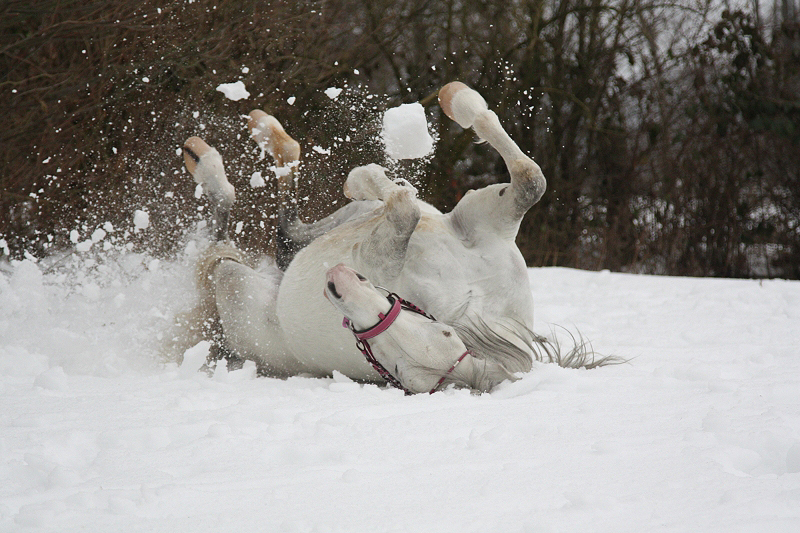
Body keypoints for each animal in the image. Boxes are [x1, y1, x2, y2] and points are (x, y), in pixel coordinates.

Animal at [170, 82, 608, 390]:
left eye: (399, 371)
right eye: (445, 331)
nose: (339, 283)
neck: (466, 299)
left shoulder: (379, 248)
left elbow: (404, 209)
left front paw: (370, 179)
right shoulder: (489, 217)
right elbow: (531, 178)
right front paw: (456, 99)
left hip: (237, 286)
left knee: (236, 245)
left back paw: (208, 161)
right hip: (324, 231)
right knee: (285, 228)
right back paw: (254, 131)